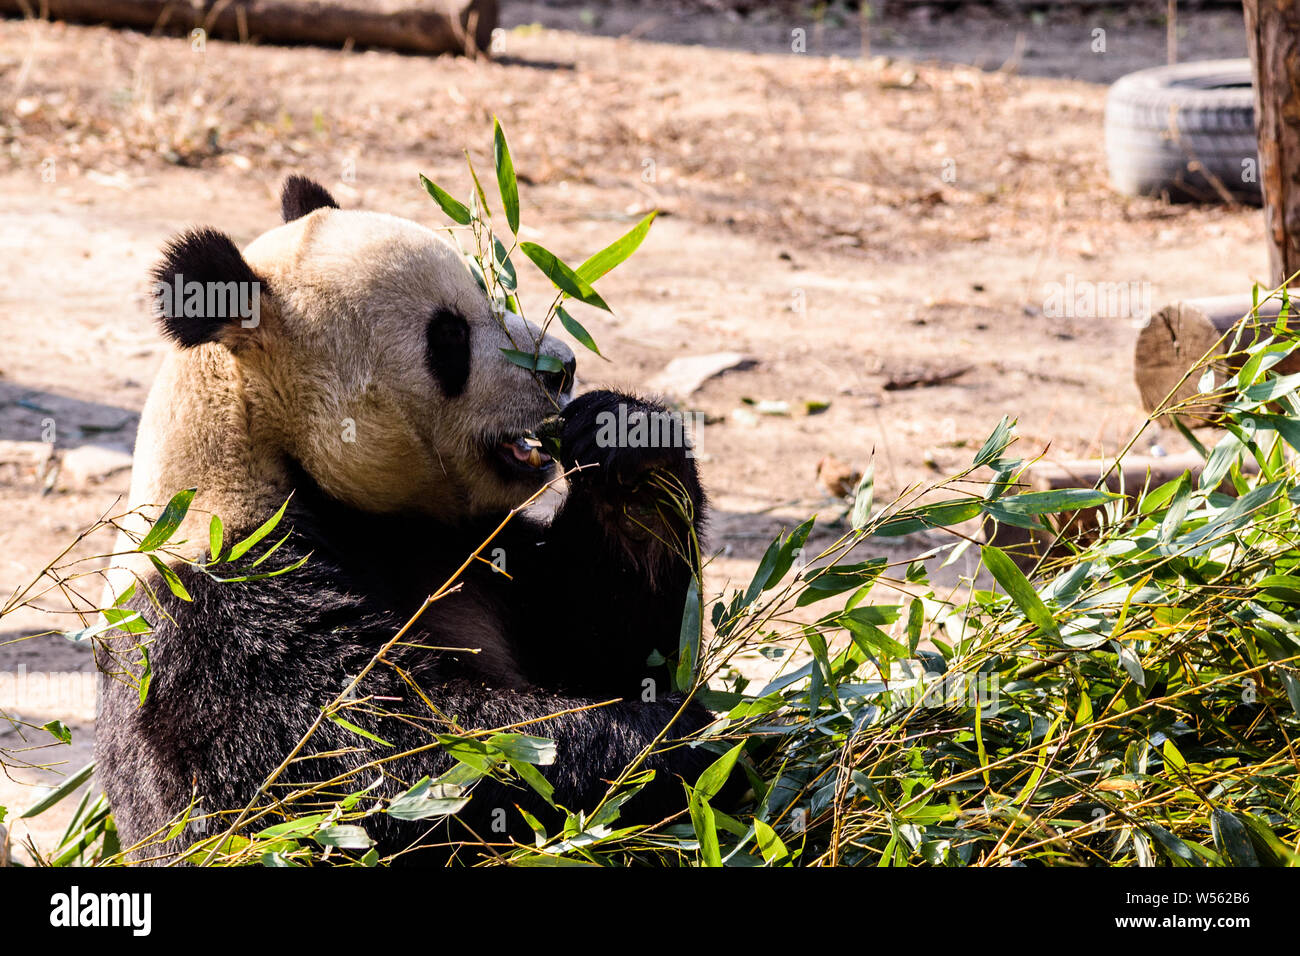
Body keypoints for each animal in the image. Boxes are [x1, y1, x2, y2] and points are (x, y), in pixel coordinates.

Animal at [96, 175, 724, 863]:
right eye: (448, 338)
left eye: (489, 293)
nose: (563, 369)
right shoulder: (217, 605)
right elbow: (370, 766)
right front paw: (676, 739)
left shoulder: (478, 554)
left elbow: (608, 637)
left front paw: (626, 446)